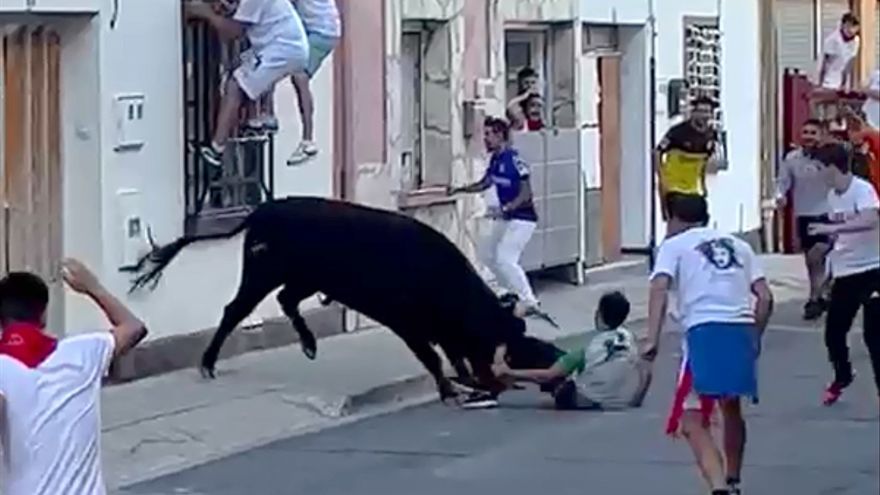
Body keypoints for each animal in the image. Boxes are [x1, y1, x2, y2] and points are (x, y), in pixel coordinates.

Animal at [127, 196, 560, 402]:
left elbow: (452, 356)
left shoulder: (437, 330)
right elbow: (434, 357)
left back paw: (310, 347)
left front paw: (465, 384)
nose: (501, 383)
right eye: (502, 337)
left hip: (302, 278)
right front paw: (452, 389)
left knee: (285, 301)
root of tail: (262, 212)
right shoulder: (407, 323)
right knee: (236, 309)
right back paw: (208, 366)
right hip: (263, 272)